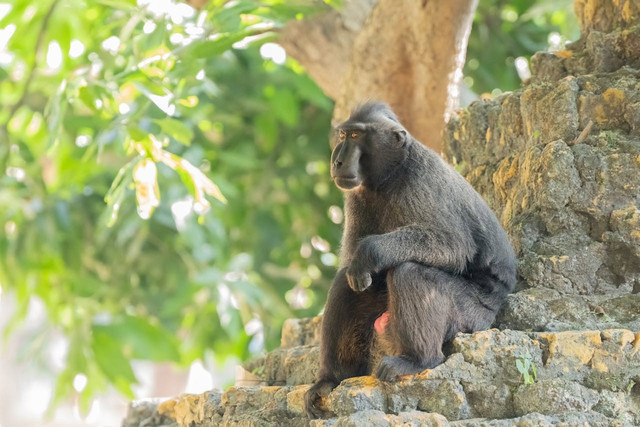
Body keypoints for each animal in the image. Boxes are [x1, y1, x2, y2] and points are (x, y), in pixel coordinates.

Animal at [302, 103, 516, 418]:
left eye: (356, 135)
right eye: (343, 134)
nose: (337, 161)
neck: (390, 175)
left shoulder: (420, 180)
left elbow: (455, 245)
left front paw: (372, 251)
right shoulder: (358, 196)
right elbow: (356, 271)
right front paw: (362, 264)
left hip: (472, 315)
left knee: (410, 272)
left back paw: (420, 360)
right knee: (347, 283)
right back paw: (330, 379)